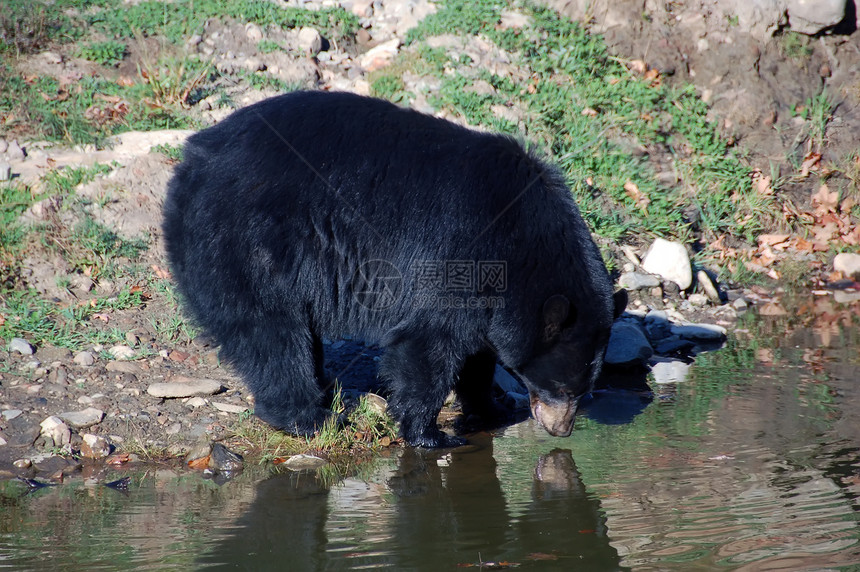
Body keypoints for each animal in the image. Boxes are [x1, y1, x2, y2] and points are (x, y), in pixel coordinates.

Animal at [161, 90, 624, 446]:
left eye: (585, 389)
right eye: (561, 387)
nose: (561, 430)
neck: (524, 240)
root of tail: (190, 160)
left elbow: (476, 351)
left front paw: (489, 405)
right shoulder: (458, 246)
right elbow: (428, 342)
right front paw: (429, 434)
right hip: (248, 239)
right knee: (269, 329)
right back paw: (309, 417)